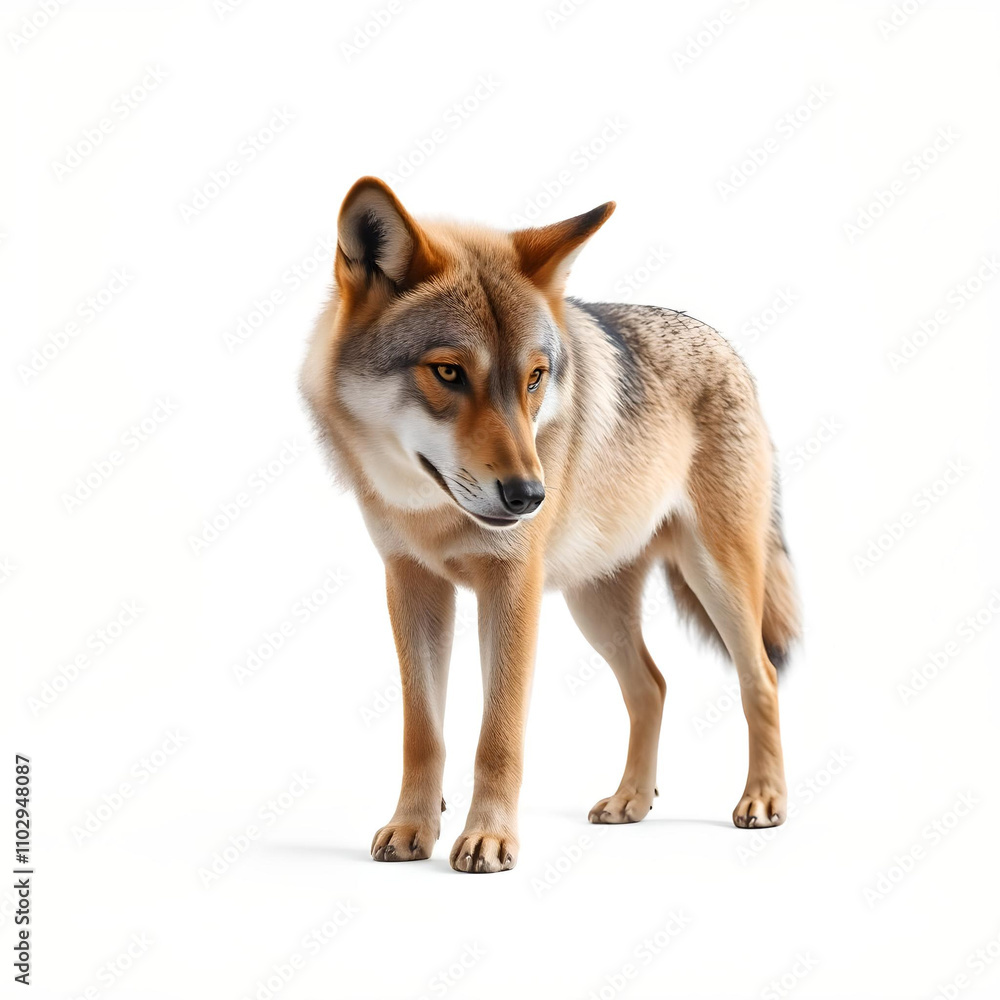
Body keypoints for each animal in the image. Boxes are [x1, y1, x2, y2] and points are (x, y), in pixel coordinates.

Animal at [301, 177, 800, 873]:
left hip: (718, 579)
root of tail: (729, 349)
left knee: (762, 678)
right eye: (449, 371)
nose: (531, 496)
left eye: (535, 377)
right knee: (652, 686)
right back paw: (630, 801)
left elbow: (498, 734)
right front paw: (411, 828)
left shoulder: (512, 586)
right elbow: (422, 732)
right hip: (596, 607)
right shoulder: (411, 585)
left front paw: (488, 839)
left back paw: (762, 800)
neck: (432, 515)